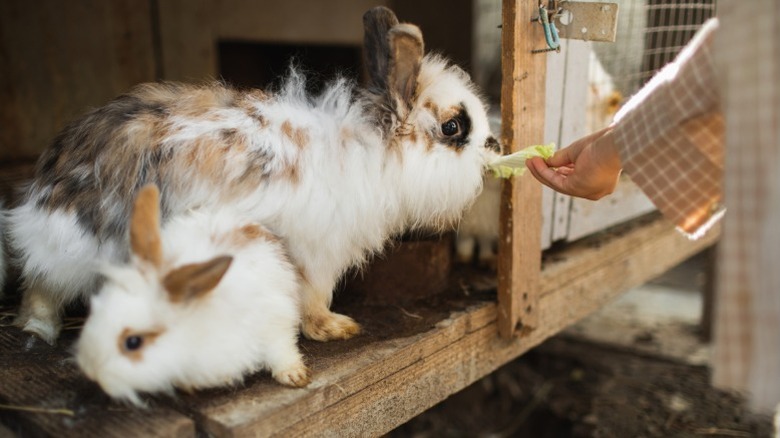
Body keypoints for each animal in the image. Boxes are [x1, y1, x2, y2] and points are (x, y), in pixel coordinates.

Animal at [7, 6, 500, 346]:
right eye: (454, 128)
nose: (495, 145)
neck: (373, 152)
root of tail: (46, 189)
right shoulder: (316, 255)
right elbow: (313, 298)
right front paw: (336, 328)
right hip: (76, 249)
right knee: (41, 286)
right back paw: (38, 331)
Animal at [75, 183, 308, 406]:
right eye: (94, 311)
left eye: (133, 342)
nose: (90, 371)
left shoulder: (275, 321)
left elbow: (282, 350)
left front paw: (294, 376)